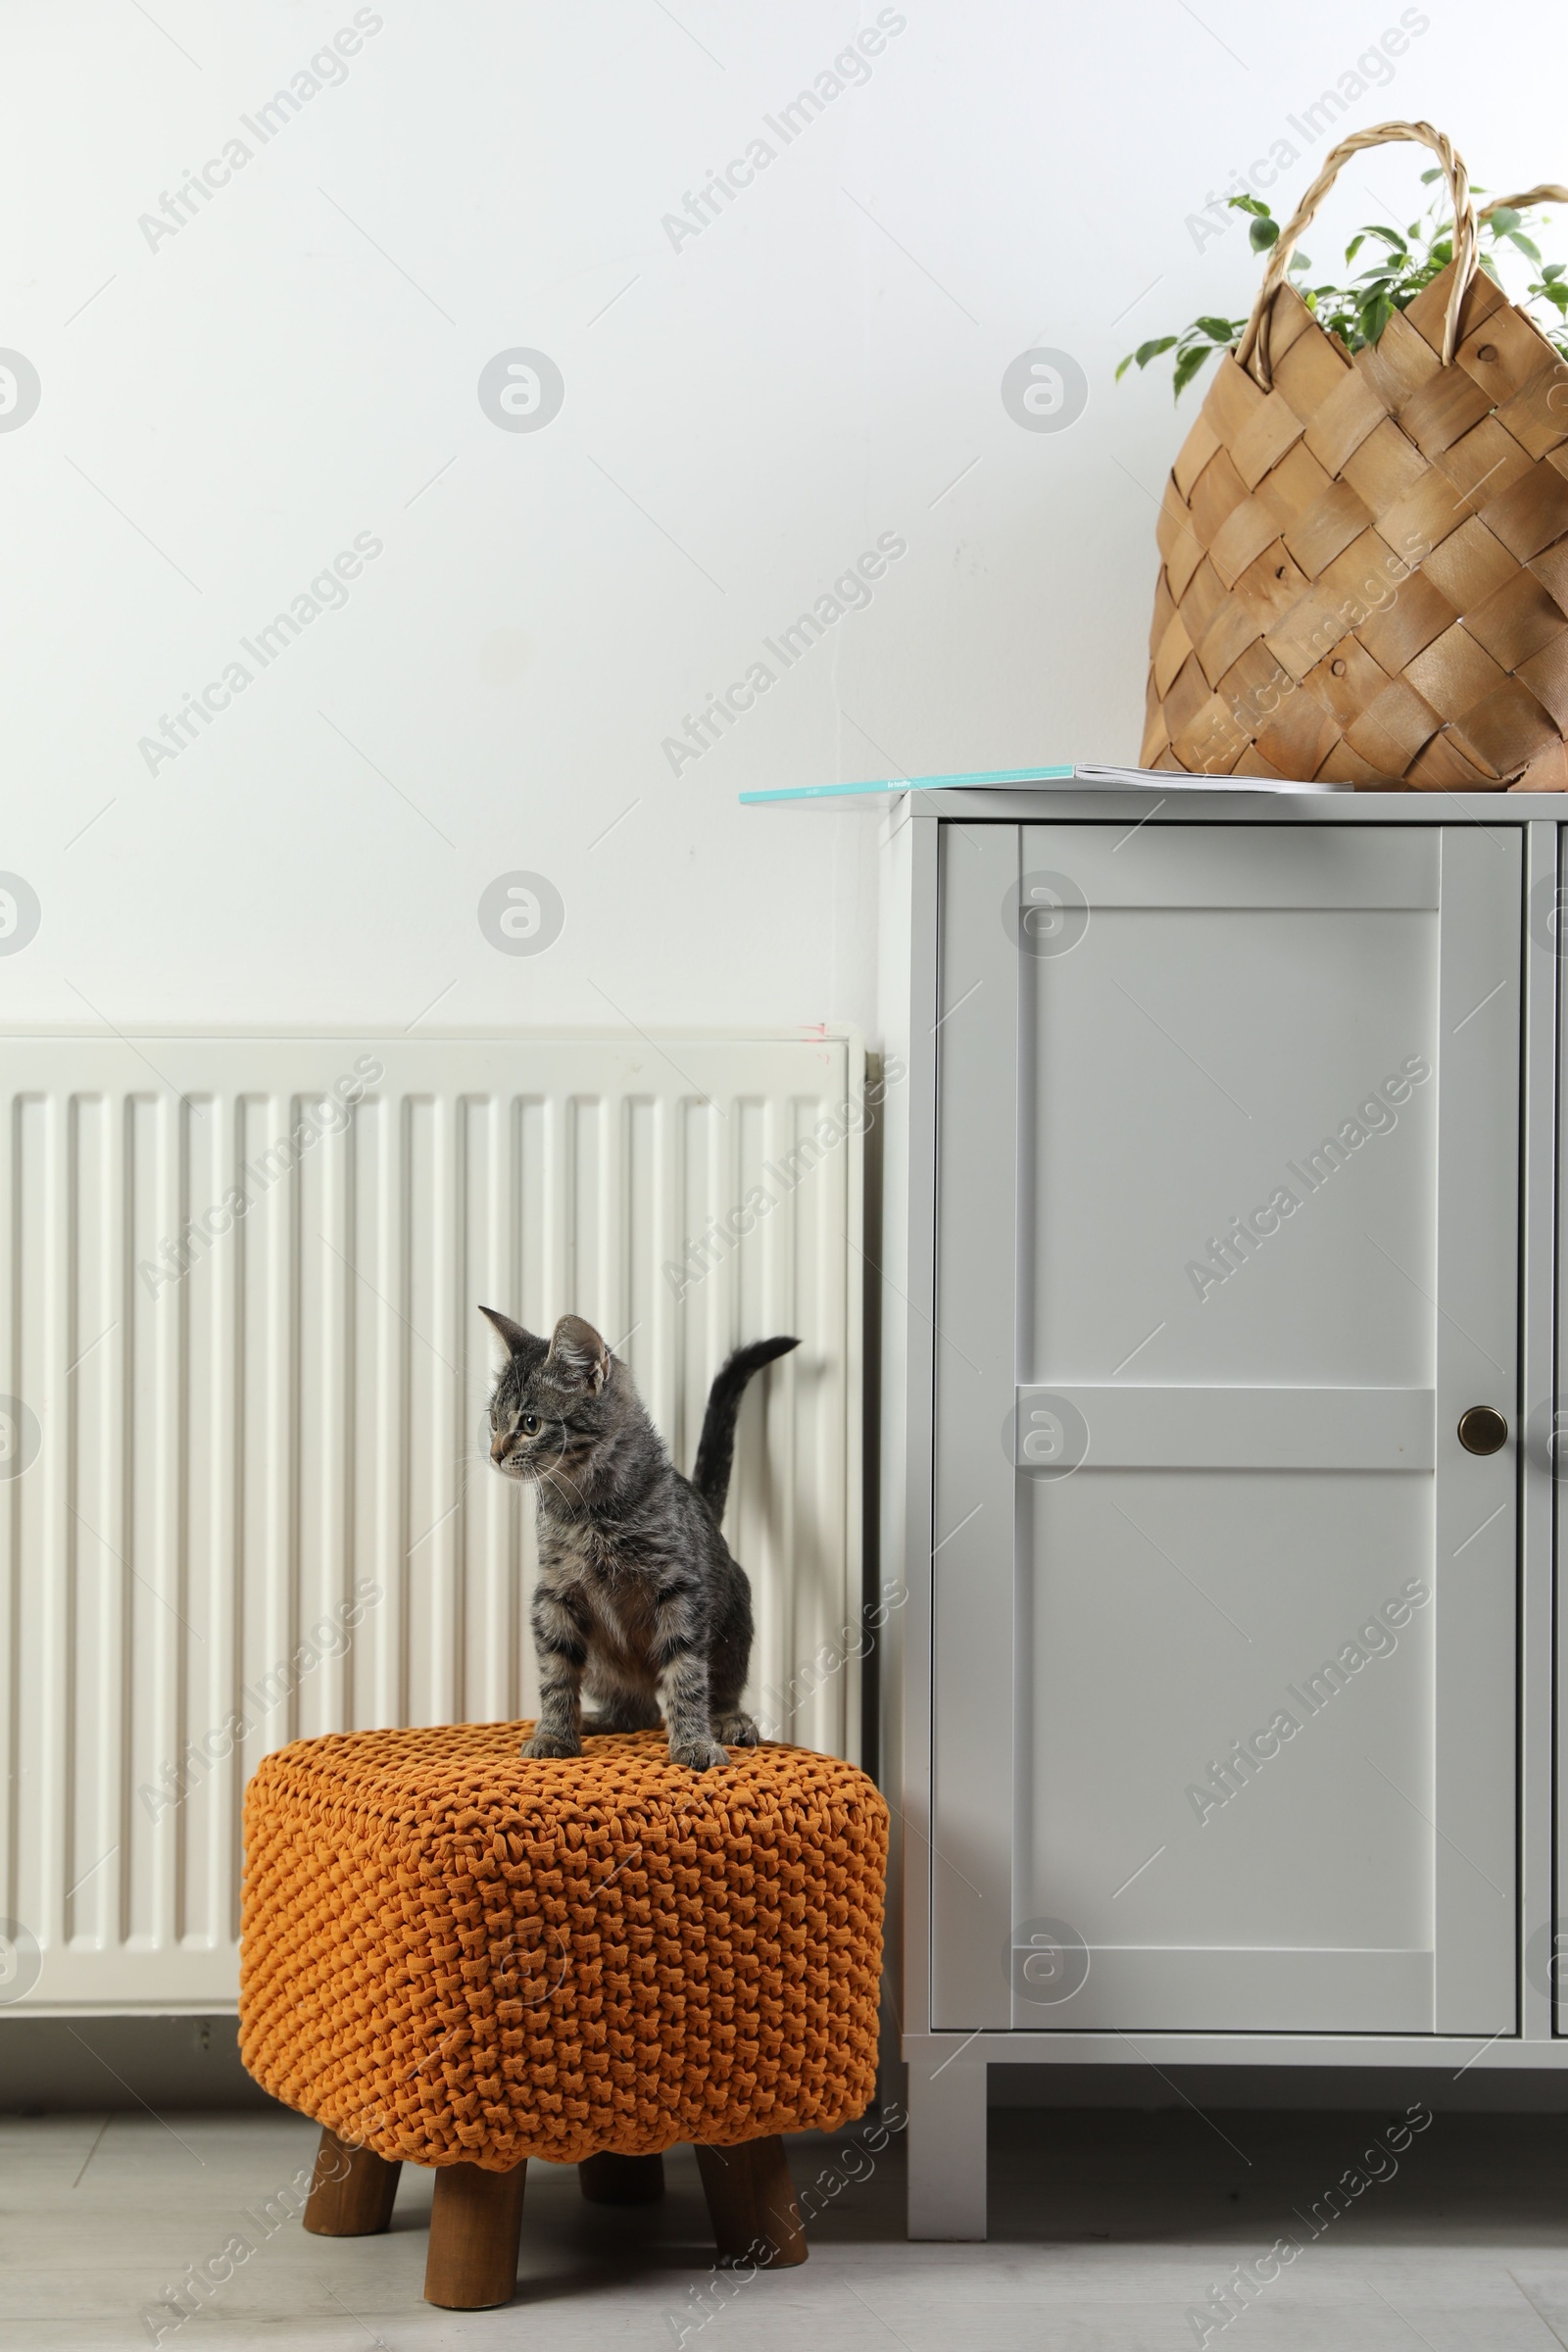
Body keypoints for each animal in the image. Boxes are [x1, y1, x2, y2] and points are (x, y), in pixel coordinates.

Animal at [484, 1307, 804, 1768]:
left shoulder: (680, 1589)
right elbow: (555, 1671)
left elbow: (686, 1673)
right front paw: (554, 1734)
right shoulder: (554, 1594)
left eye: (530, 1423)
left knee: (716, 1686)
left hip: (735, 1623)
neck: (589, 1511)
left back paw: (729, 1720)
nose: (494, 1454)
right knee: (641, 1710)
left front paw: (693, 1742)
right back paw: (595, 1718)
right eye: (492, 1422)